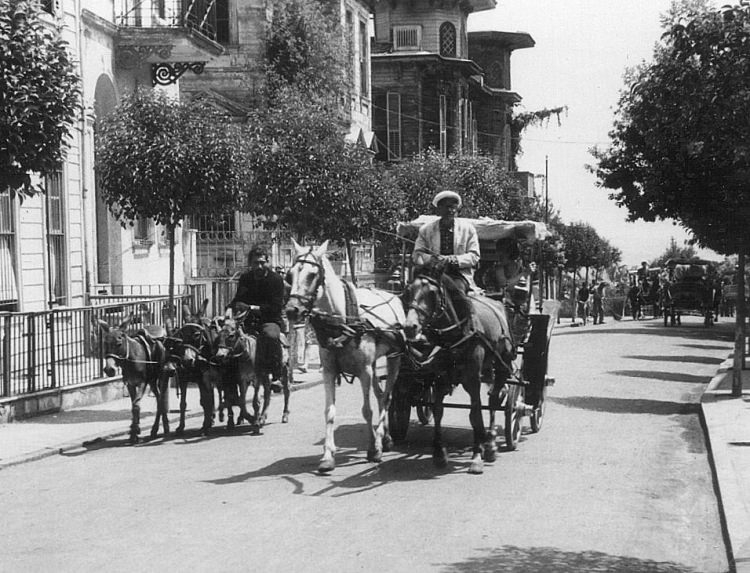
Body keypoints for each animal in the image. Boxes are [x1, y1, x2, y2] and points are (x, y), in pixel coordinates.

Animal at [94, 312, 170, 442]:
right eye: (105, 344)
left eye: (119, 344)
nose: (109, 370)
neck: (131, 359)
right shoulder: (130, 383)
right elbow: (133, 405)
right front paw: (134, 430)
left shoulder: (142, 383)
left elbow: (136, 405)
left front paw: (135, 431)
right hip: (152, 380)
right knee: (159, 397)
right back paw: (157, 429)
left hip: (162, 376)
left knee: (161, 399)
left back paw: (162, 428)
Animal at [286, 239, 406, 472]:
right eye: (289, 275)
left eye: (312, 275)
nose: (291, 310)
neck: (341, 322)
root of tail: (392, 295)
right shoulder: (329, 371)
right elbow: (329, 412)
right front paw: (327, 456)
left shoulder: (364, 371)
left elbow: (367, 410)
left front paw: (373, 448)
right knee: (380, 395)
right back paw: (386, 438)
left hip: (394, 357)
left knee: (386, 397)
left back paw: (382, 439)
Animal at [406, 272, 516, 474]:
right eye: (408, 290)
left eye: (432, 293)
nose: (410, 327)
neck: (456, 334)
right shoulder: (440, 378)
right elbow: (438, 411)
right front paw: (439, 453)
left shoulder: (472, 380)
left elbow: (475, 414)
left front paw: (477, 455)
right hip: (487, 368)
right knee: (494, 395)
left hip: (502, 364)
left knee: (494, 399)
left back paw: (490, 443)